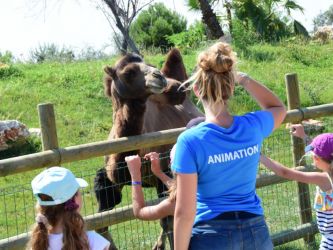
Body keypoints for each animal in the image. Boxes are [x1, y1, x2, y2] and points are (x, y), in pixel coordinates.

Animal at [93, 48, 202, 250]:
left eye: (151, 66)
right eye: (128, 72)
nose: (159, 77)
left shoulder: (165, 172)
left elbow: (168, 219)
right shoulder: (110, 179)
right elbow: (101, 222)